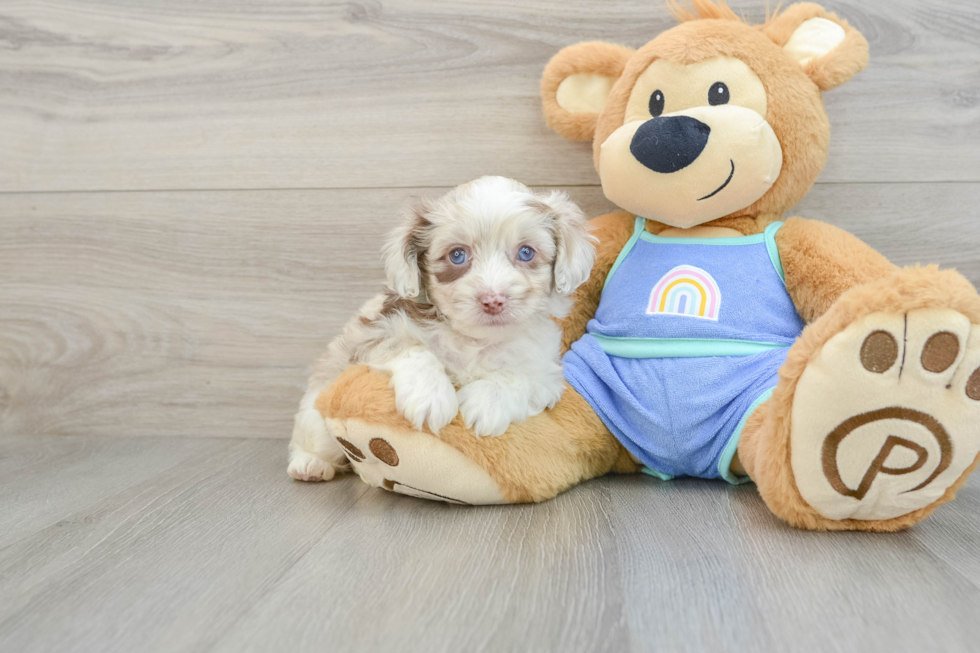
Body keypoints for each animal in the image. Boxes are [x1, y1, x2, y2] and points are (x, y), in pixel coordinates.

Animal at [288, 176, 592, 482]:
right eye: (457, 255)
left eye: (526, 252)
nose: (493, 300)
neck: (475, 339)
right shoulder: (374, 334)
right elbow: (411, 346)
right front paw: (429, 395)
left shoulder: (545, 372)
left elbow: (519, 376)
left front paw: (488, 403)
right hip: (320, 404)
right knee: (315, 436)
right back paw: (310, 463)